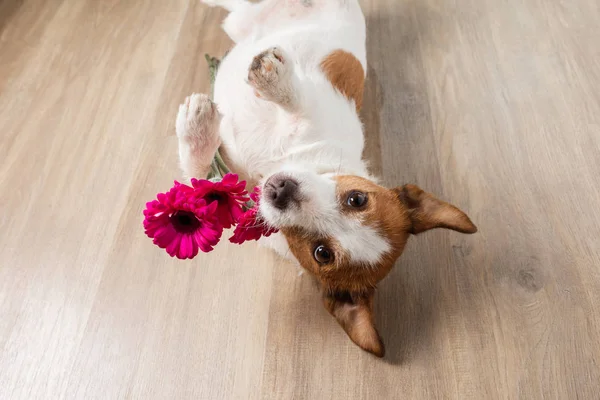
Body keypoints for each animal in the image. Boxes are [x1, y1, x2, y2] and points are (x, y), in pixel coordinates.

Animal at [176, 0, 476, 356]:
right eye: (357, 199)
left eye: (322, 252)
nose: (282, 190)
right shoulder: (316, 108)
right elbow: (295, 99)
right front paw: (267, 84)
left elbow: (201, 182)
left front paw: (198, 127)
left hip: (242, 21)